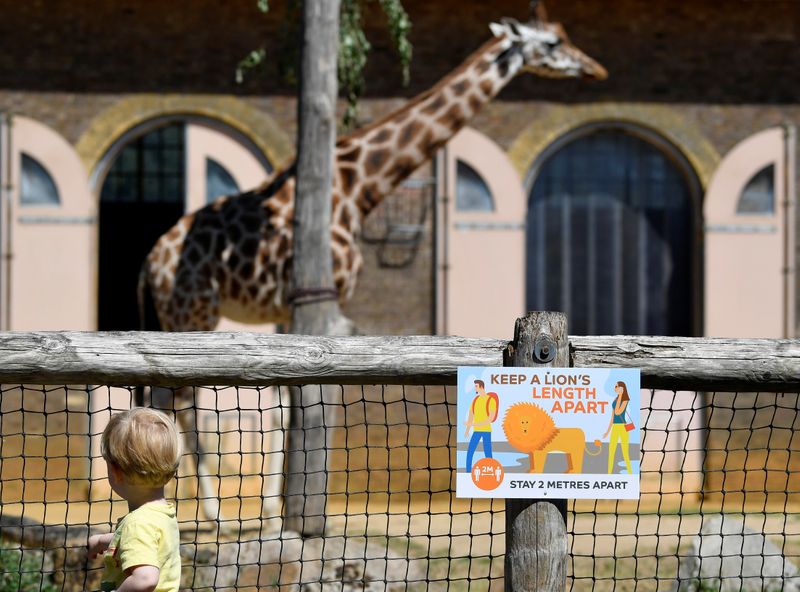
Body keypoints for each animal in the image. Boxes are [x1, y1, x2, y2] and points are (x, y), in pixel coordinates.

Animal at [136, 3, 608, 532]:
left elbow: (282, 401)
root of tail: (150, 263)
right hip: (191, 312)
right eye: (551, 43)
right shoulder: (323, 295)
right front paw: (280, 515)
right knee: (179, 403)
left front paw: (276, 512)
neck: (357, 188)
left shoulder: (287, 306)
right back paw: (210, 514)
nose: (595, 68)